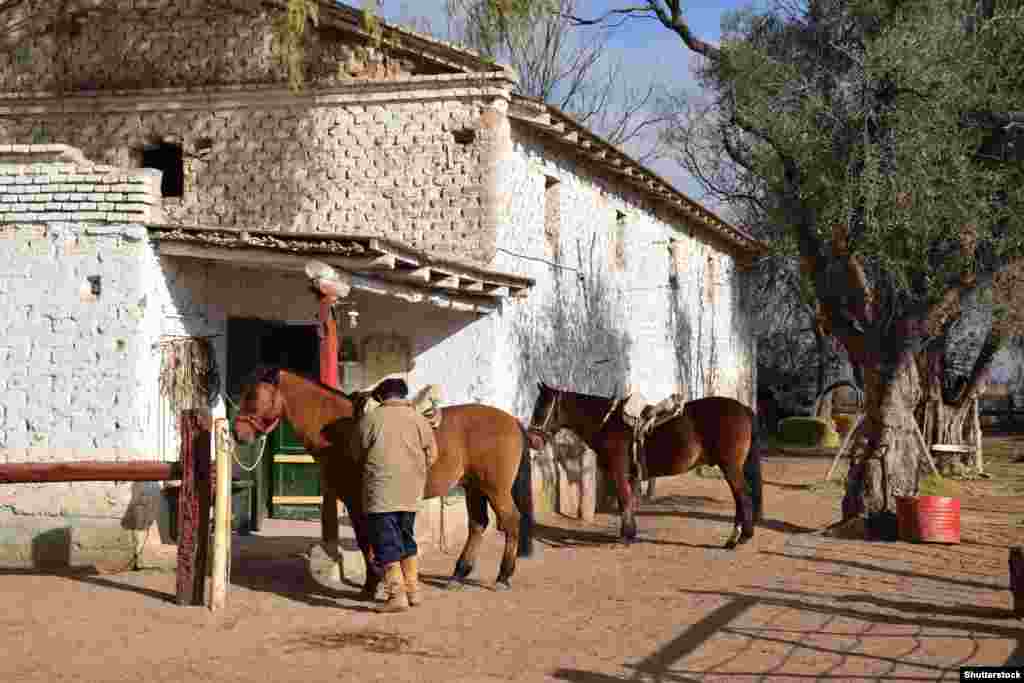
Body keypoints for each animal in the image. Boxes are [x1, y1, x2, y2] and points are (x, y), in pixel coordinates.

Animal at [234, 366, 536, 593]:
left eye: (253, 396)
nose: (238, 433)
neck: (339, 430)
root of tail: (512, 421)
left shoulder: (356, 502)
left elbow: (366, 541)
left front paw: (372, 584)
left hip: (494, 489)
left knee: (510, 522)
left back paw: (503, 577)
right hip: (474, 487)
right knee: (478, 525)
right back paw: (458, 574)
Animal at [528, 385, 761, 548]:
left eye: (541, 408)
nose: (533, 440)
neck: (606, 423)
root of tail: (743, 409)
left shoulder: (618, 472)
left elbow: (624, 500)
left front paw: (625, 537)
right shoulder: (630, 474)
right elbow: (629, 501)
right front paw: (630, 534)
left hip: (730, 467)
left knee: (743, 497)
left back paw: (737, 539)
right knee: (741, 498)